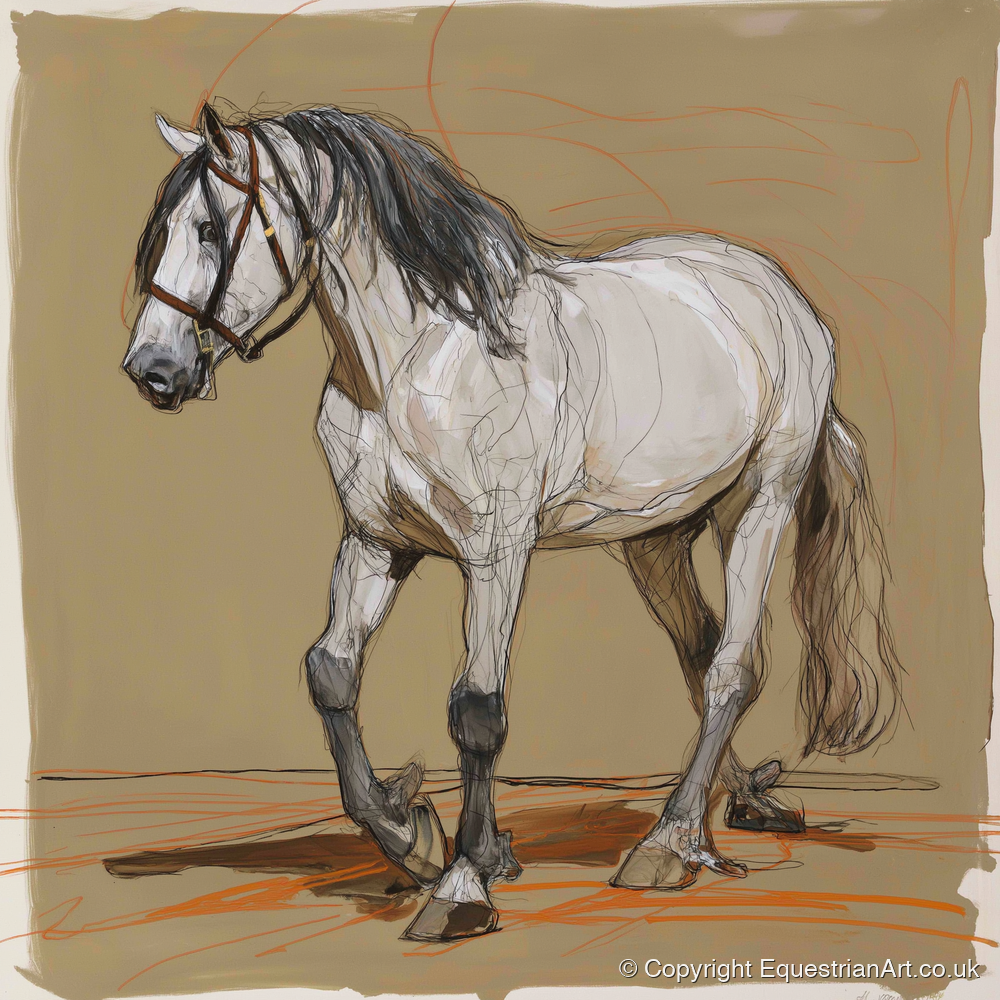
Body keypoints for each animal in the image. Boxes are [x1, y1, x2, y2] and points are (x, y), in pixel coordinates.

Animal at [122, 102, 902, 942]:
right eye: (161, 229)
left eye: (208, 227)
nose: (153, 369)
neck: (422, 360)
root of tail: (780, 295)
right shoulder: (377, 542)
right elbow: (331, 671)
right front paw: (413, 835)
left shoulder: (496, 552)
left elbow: (477, 709)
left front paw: (462, 883)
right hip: (655, 538)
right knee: (700, 655)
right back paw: (735, 808)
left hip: (759, 503)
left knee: (732, 668)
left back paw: (665, 845)